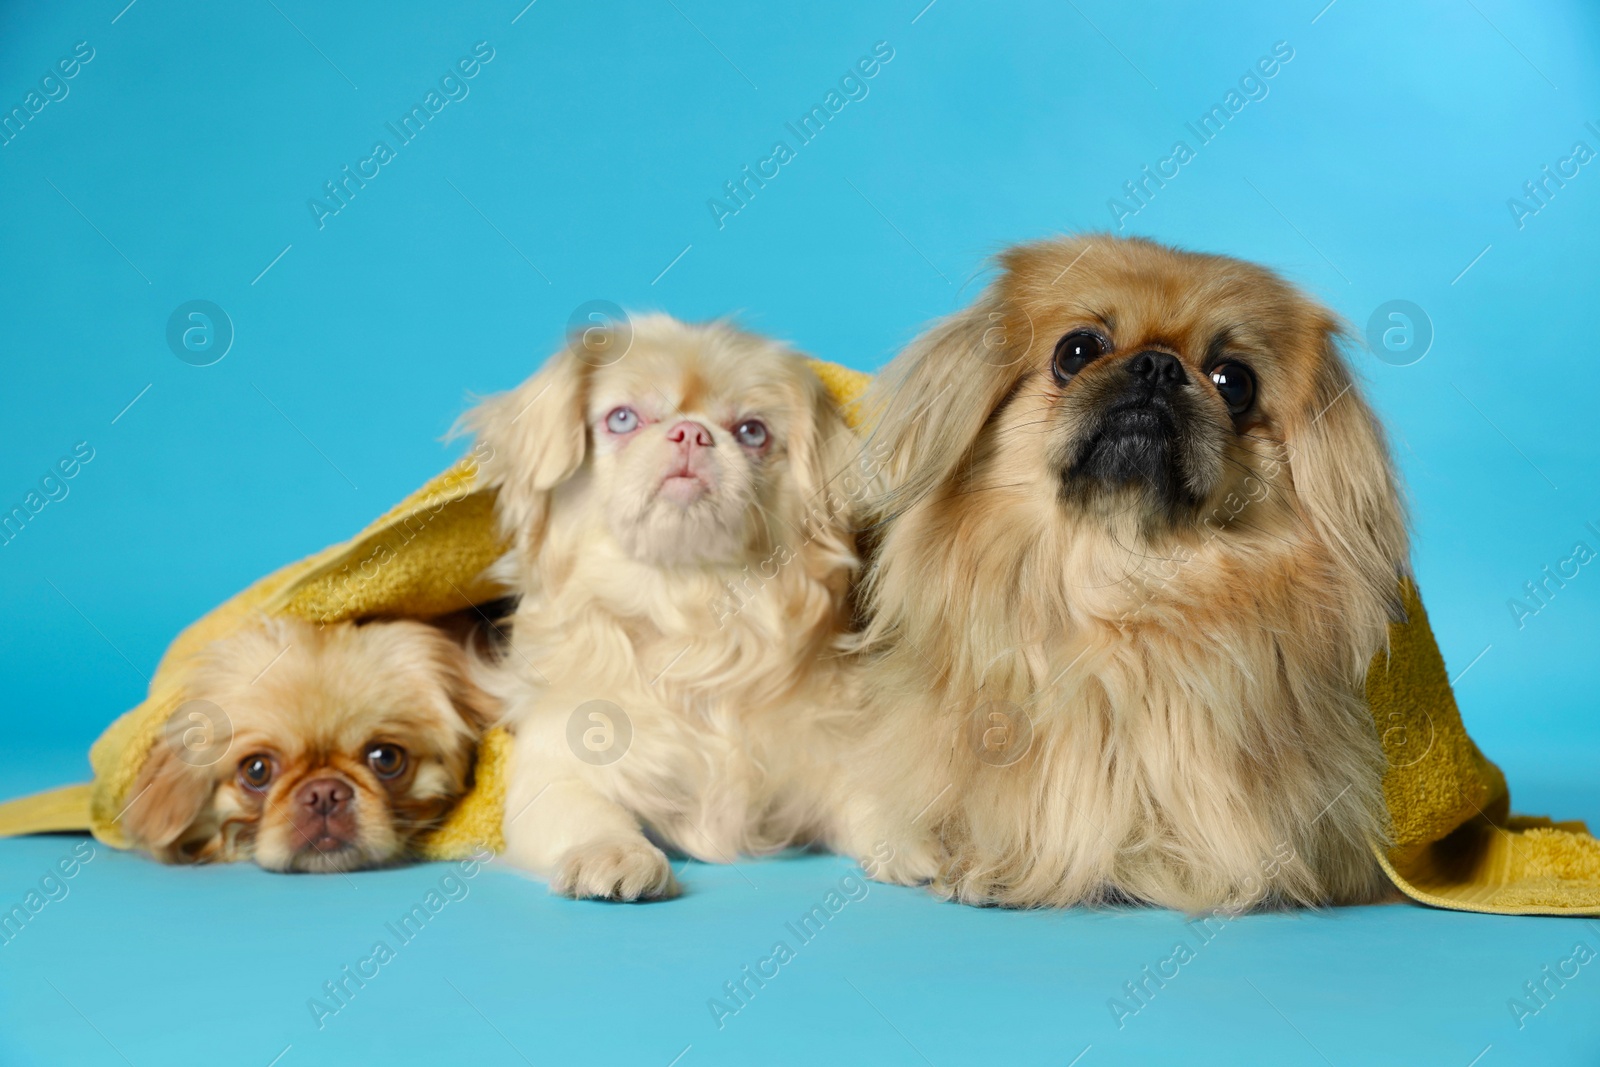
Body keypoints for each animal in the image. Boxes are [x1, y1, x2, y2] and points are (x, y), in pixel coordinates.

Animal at [460, 315, 864, 902]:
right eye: (623, 419)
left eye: (752, 432)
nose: (691, 432)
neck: (682, 602)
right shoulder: (555, 770)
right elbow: (588, 813)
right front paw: (615, 856)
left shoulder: (825, 758)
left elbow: (876, 806)